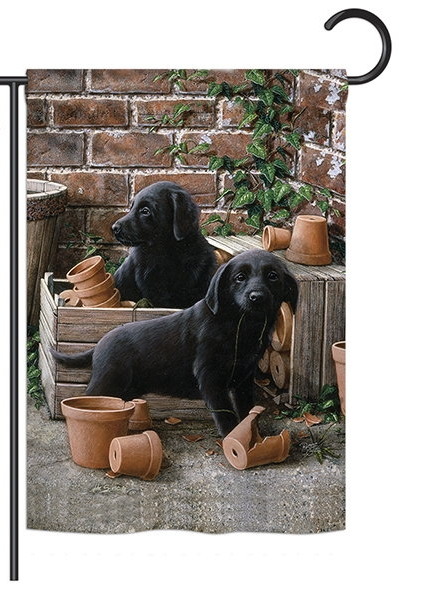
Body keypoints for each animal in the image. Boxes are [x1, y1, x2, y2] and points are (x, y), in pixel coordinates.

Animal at [50, 248, 298, 436]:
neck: (239, 326)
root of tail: (99, 344)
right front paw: (232, 437)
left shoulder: (243, 379)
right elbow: (225, 412)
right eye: (240, 277)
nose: (257, 297)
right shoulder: (210, 377)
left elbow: (247, 410)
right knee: (84, 401)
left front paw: (253, 435)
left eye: (273, 276)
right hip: (108, 381)